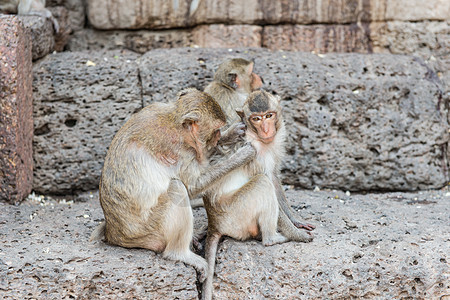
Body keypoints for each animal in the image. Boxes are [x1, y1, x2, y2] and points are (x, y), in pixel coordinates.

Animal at [89, 88, 255, 282]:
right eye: (214, 131)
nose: (217, 138)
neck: (175, 120)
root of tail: (114, 235)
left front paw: (231, 134)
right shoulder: (181, 151)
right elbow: (192, 186)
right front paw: (243, 154)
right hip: (148, 231)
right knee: (177, 188)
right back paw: (180, 253)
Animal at [202, 89, 314, 300]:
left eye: (269, 116)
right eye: (256, 119)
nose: (266, 130)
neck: (259, 139)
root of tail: (214, 223)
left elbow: (275, 179)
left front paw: (296, 220)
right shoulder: (253, 152)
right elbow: (266, 178)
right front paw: (297, 234)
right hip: (235, 212)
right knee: (262, 183)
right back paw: (272, 239)